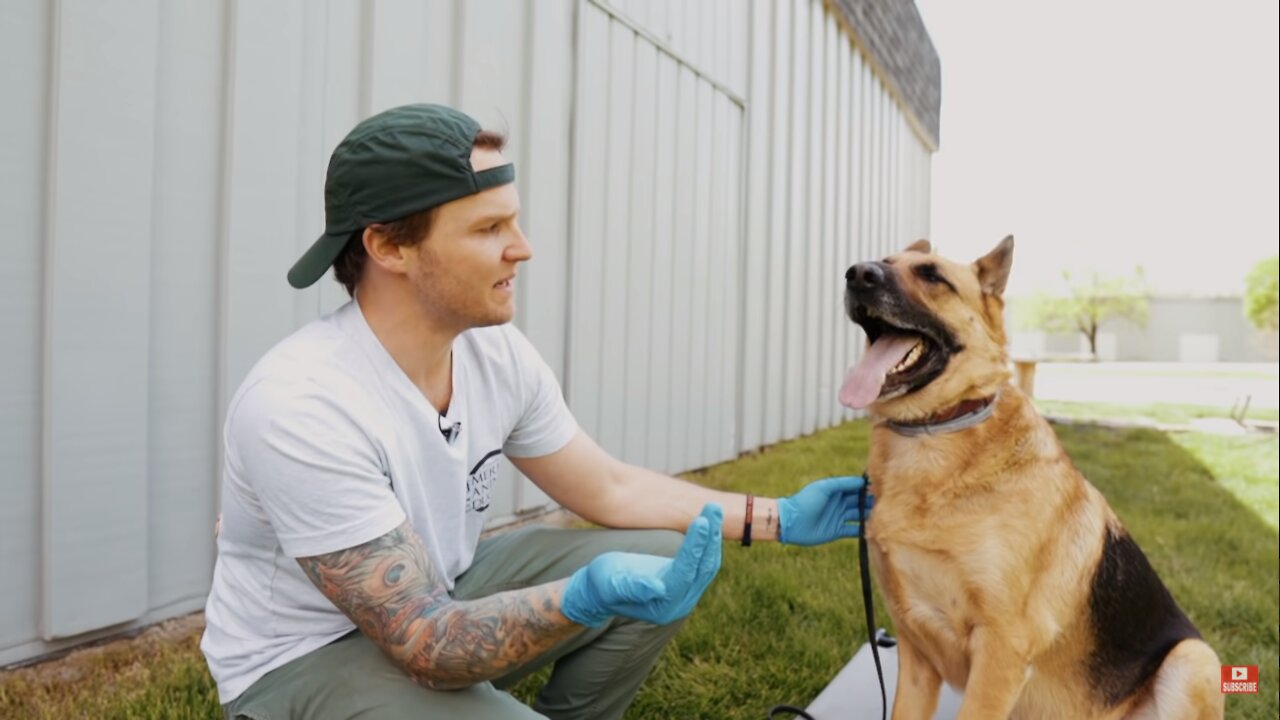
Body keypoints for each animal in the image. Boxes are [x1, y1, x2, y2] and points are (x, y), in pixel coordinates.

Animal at [839, 237, 1218, 717]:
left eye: (932, 276)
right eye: (886, 262)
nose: (856, 273)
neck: (939, 429)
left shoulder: (1001, 653)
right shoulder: (916, 651)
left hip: (1194, 659)